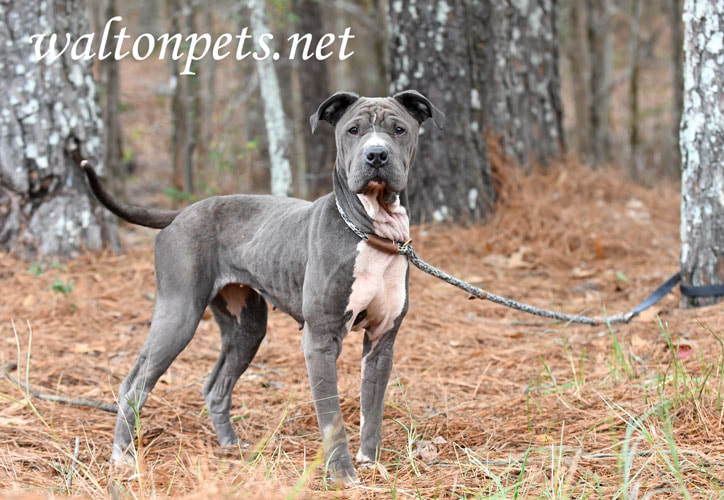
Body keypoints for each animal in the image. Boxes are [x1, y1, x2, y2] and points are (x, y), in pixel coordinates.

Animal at [79, 90, 442, 484]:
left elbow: (372, 411)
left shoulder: (381, 342)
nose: (376, 155)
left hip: (247, 326)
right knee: (133, 384)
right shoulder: (321, 340)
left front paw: (370, 463)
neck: (370, 230)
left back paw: (230, 446)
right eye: (354, 130)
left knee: (215, 387)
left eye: (399, 129)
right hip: (178, 316)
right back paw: (122, 457)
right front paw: (342, 474)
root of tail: (180, 214)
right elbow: (332, 417)